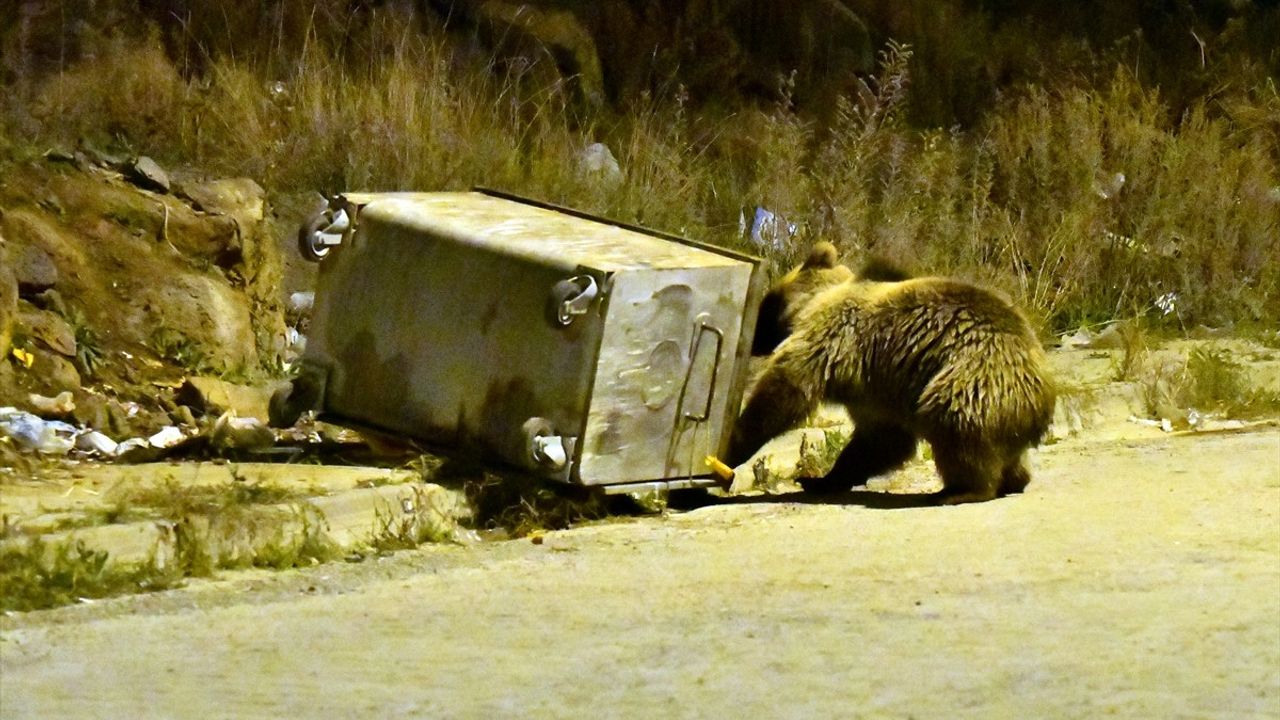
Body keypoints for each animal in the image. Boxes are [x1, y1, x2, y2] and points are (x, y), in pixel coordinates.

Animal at [732, 240, 1059, 504]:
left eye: (765, 304)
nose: (753, 340)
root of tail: (1044, 396)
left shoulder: (835, 342)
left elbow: (785, 391)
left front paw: (734, 445)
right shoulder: (873, 387)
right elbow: (880, 439)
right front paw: (821, 479)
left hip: (973, 375)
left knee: (955, 422)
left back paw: (959, 491)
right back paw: (1014, 480)